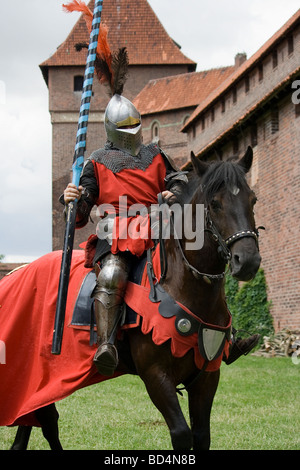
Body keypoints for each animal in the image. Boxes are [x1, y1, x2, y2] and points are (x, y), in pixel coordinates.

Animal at [6, 146, 260, 448]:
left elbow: (201, 435)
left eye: (253, 199)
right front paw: (71, 196)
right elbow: (182, 434)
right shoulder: (156, 375)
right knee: (46, 421)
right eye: (215, 203)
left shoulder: (207, 375)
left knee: (37, 420)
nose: (247, 260)